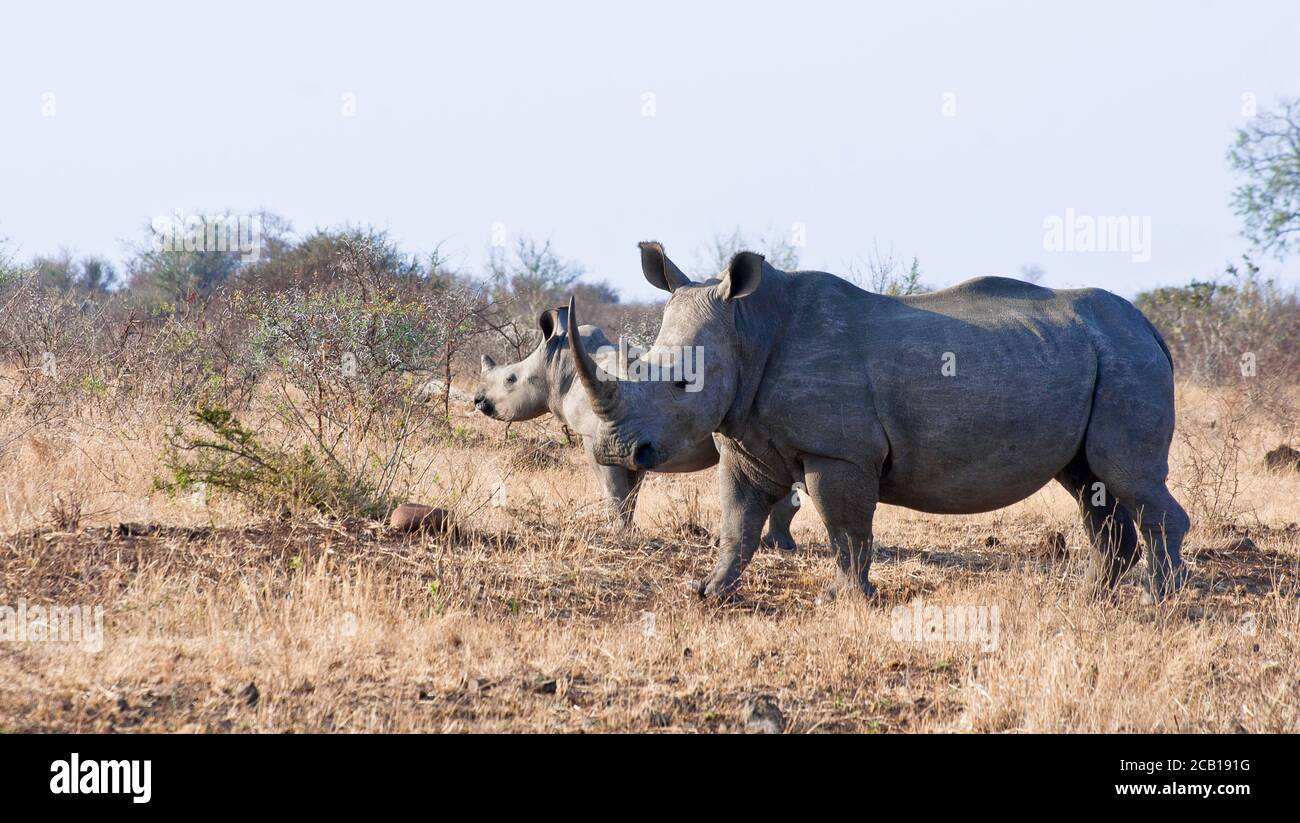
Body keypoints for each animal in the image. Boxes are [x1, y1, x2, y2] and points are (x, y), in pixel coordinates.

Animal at [474, 306, 802, 547]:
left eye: (510, 379)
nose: (478, 401)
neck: (558, 364)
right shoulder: (633, 442)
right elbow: (630, 492)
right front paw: (630, 530)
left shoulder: (601, 437)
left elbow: (613, 489)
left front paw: (618, 534)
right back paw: (778, 544)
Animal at [568, 242, 1190, 603]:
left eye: (682, 384)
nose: (618, 452)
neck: (748, 326)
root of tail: (1152, 329)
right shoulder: (744, 440)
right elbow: (738, 523)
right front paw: (709, 593)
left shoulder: (839, 451)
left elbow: (845, 528)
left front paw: (845, 600)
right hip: (1097, 355)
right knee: (1089, 483)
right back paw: (1090, 598)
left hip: (1124, 359)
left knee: (1125, 475)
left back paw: (1155, 602)